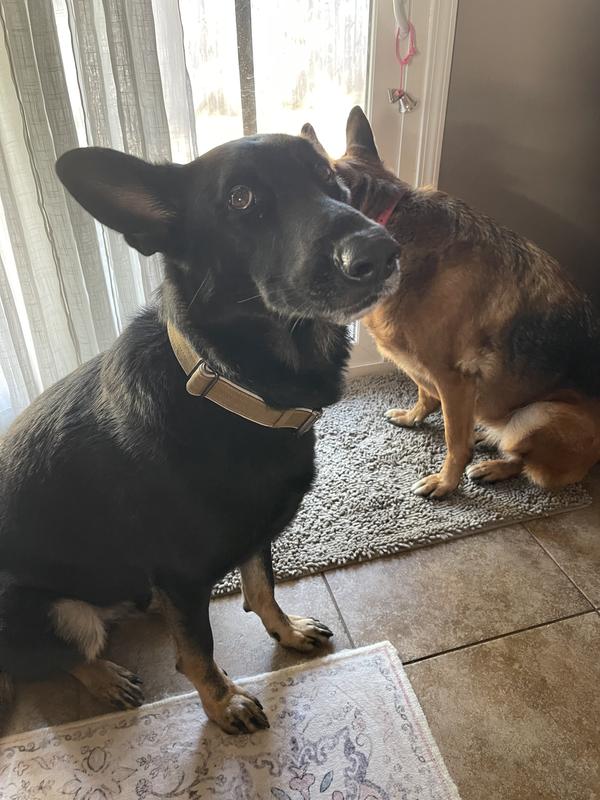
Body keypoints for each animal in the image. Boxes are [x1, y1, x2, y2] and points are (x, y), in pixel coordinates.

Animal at [0, 132, 399, 733]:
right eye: (240, 198)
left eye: (329, 177)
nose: (383, 250)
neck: (230, 387)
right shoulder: (182, 579)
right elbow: (197, 650)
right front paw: (222, 701)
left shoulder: (251, 539)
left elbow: (261, 587)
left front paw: (285, 631)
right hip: (60, 611)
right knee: (58, 657)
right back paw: (105, 677)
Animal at [303, 107, 600, 498]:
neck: (391, 228)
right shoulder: (425, 370)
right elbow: (426, 395)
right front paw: (413, 417)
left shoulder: (454, 379)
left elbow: (455, 441)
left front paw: (446, 483)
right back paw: (487, 439)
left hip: (535, 416)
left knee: (523, 461)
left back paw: (493, 466)